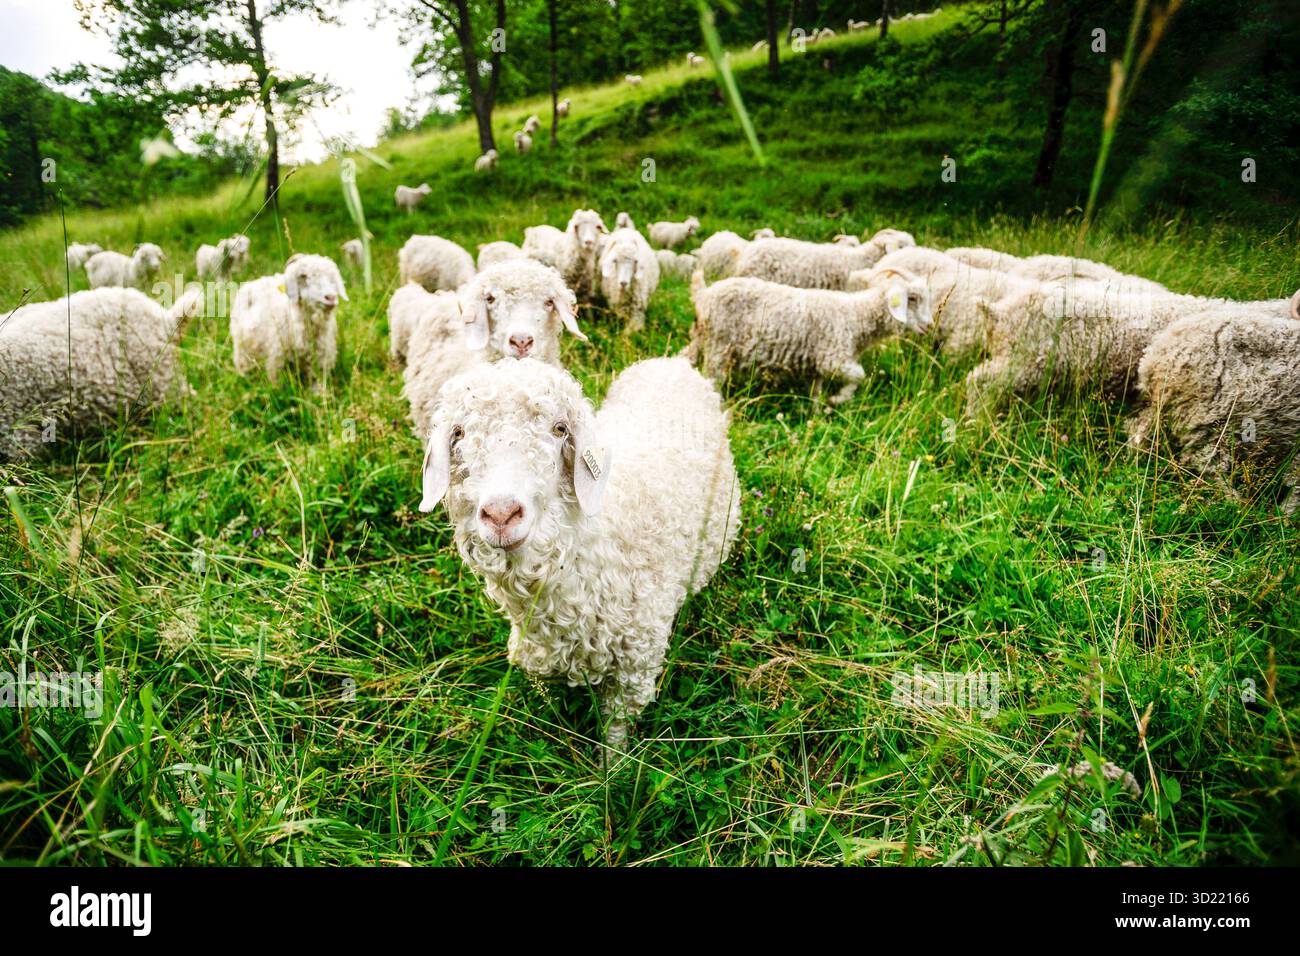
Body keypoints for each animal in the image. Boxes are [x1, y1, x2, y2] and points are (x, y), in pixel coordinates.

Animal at [229, 253, 347, 390]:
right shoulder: (276, 362)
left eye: (332, 278)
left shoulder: (321, 362)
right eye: (303, 276)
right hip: (242, 351)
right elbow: (278, 387)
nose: (330, 297)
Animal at [417, 355, 740, 756]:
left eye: (559, 429)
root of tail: (672, 362)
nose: (502, 514)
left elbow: (615, 731)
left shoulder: (634, 667)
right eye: (458, 433)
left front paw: (610, 769)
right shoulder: (537, 660)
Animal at [686, 269, 933, 404]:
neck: (856, 317)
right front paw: (838, 399)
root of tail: (704, 295)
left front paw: (817, 416)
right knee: (713, 378)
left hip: (701, 339)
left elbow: (816, 392)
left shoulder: (817, 367)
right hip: (719, 347)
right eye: (912, 298)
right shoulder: (832, 358)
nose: (929, 326)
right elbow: (859, 375)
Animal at [1126, 310, 1300, 512]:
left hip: (1161, 407)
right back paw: (1234, 505)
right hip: (1208, 417)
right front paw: (1285, 515)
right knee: (1207, 464)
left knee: (1139, 434)